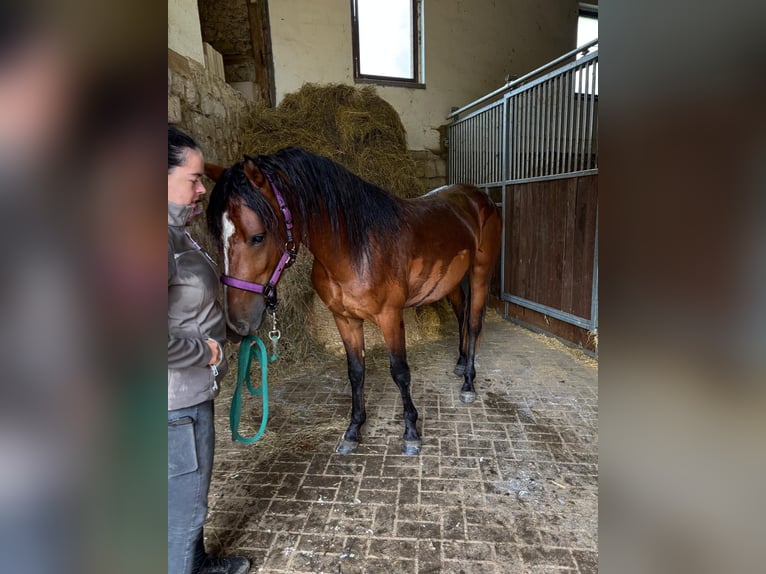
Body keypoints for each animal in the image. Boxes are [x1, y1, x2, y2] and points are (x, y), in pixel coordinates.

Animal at [206, 147, 501, 456]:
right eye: (217, 236)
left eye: (258, 237)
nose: (237, 324)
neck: (356, 249)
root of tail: (478, 197)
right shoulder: (344, 319)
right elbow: (356, 371)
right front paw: (353, 429)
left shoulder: (390, 317)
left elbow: (400, 372)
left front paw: (410, 432)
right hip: (451, 282)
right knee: (461, 315)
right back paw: (460, 363)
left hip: (480, 273)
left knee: (473, 323)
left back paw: (468, 383)